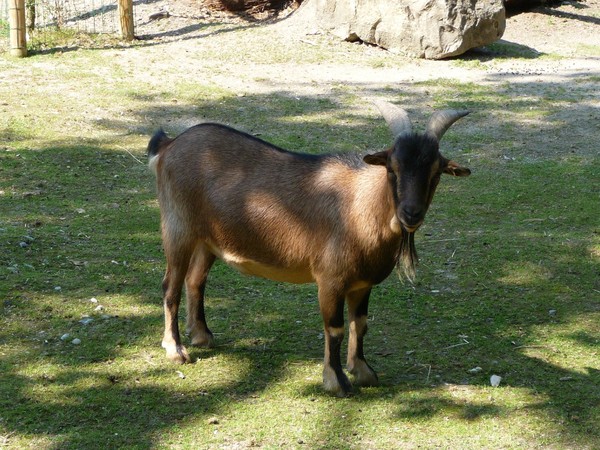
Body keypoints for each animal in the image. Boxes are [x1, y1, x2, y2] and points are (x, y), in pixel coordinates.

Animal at [148, 100, 472, 396]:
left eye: (436, 171)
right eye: (392, 169)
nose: (411, 214)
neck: (359, 207)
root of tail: (169, 145)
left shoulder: (362, 284)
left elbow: (360, 324)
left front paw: (363, 371)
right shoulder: (331, 280)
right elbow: (335, 328)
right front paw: (337, 381)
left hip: (207, 240)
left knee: (195, 280)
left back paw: (202, 335)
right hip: (178, 228)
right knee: (170, 285)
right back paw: (176, 349)